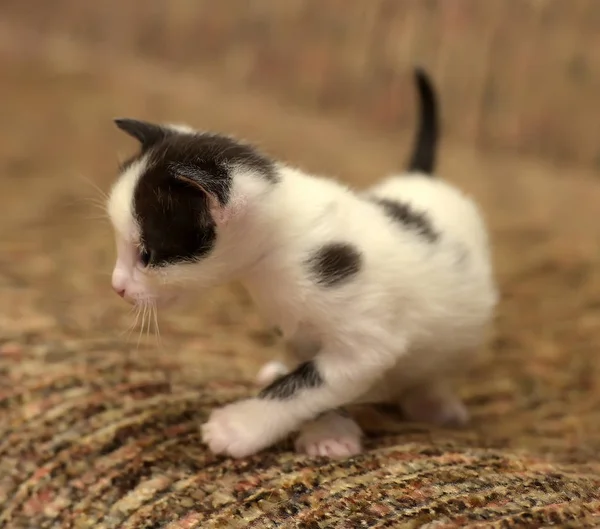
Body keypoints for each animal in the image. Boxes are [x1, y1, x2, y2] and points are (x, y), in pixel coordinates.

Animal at [106, 69, 496, 458]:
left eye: (146, 254)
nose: (117, 286)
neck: (282, 251)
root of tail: (421, 178)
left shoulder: (365, 342)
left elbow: (308, 384)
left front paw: (239, 425)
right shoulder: (295, 331)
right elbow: (311, 380)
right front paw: (328, 429)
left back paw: (433, 401)